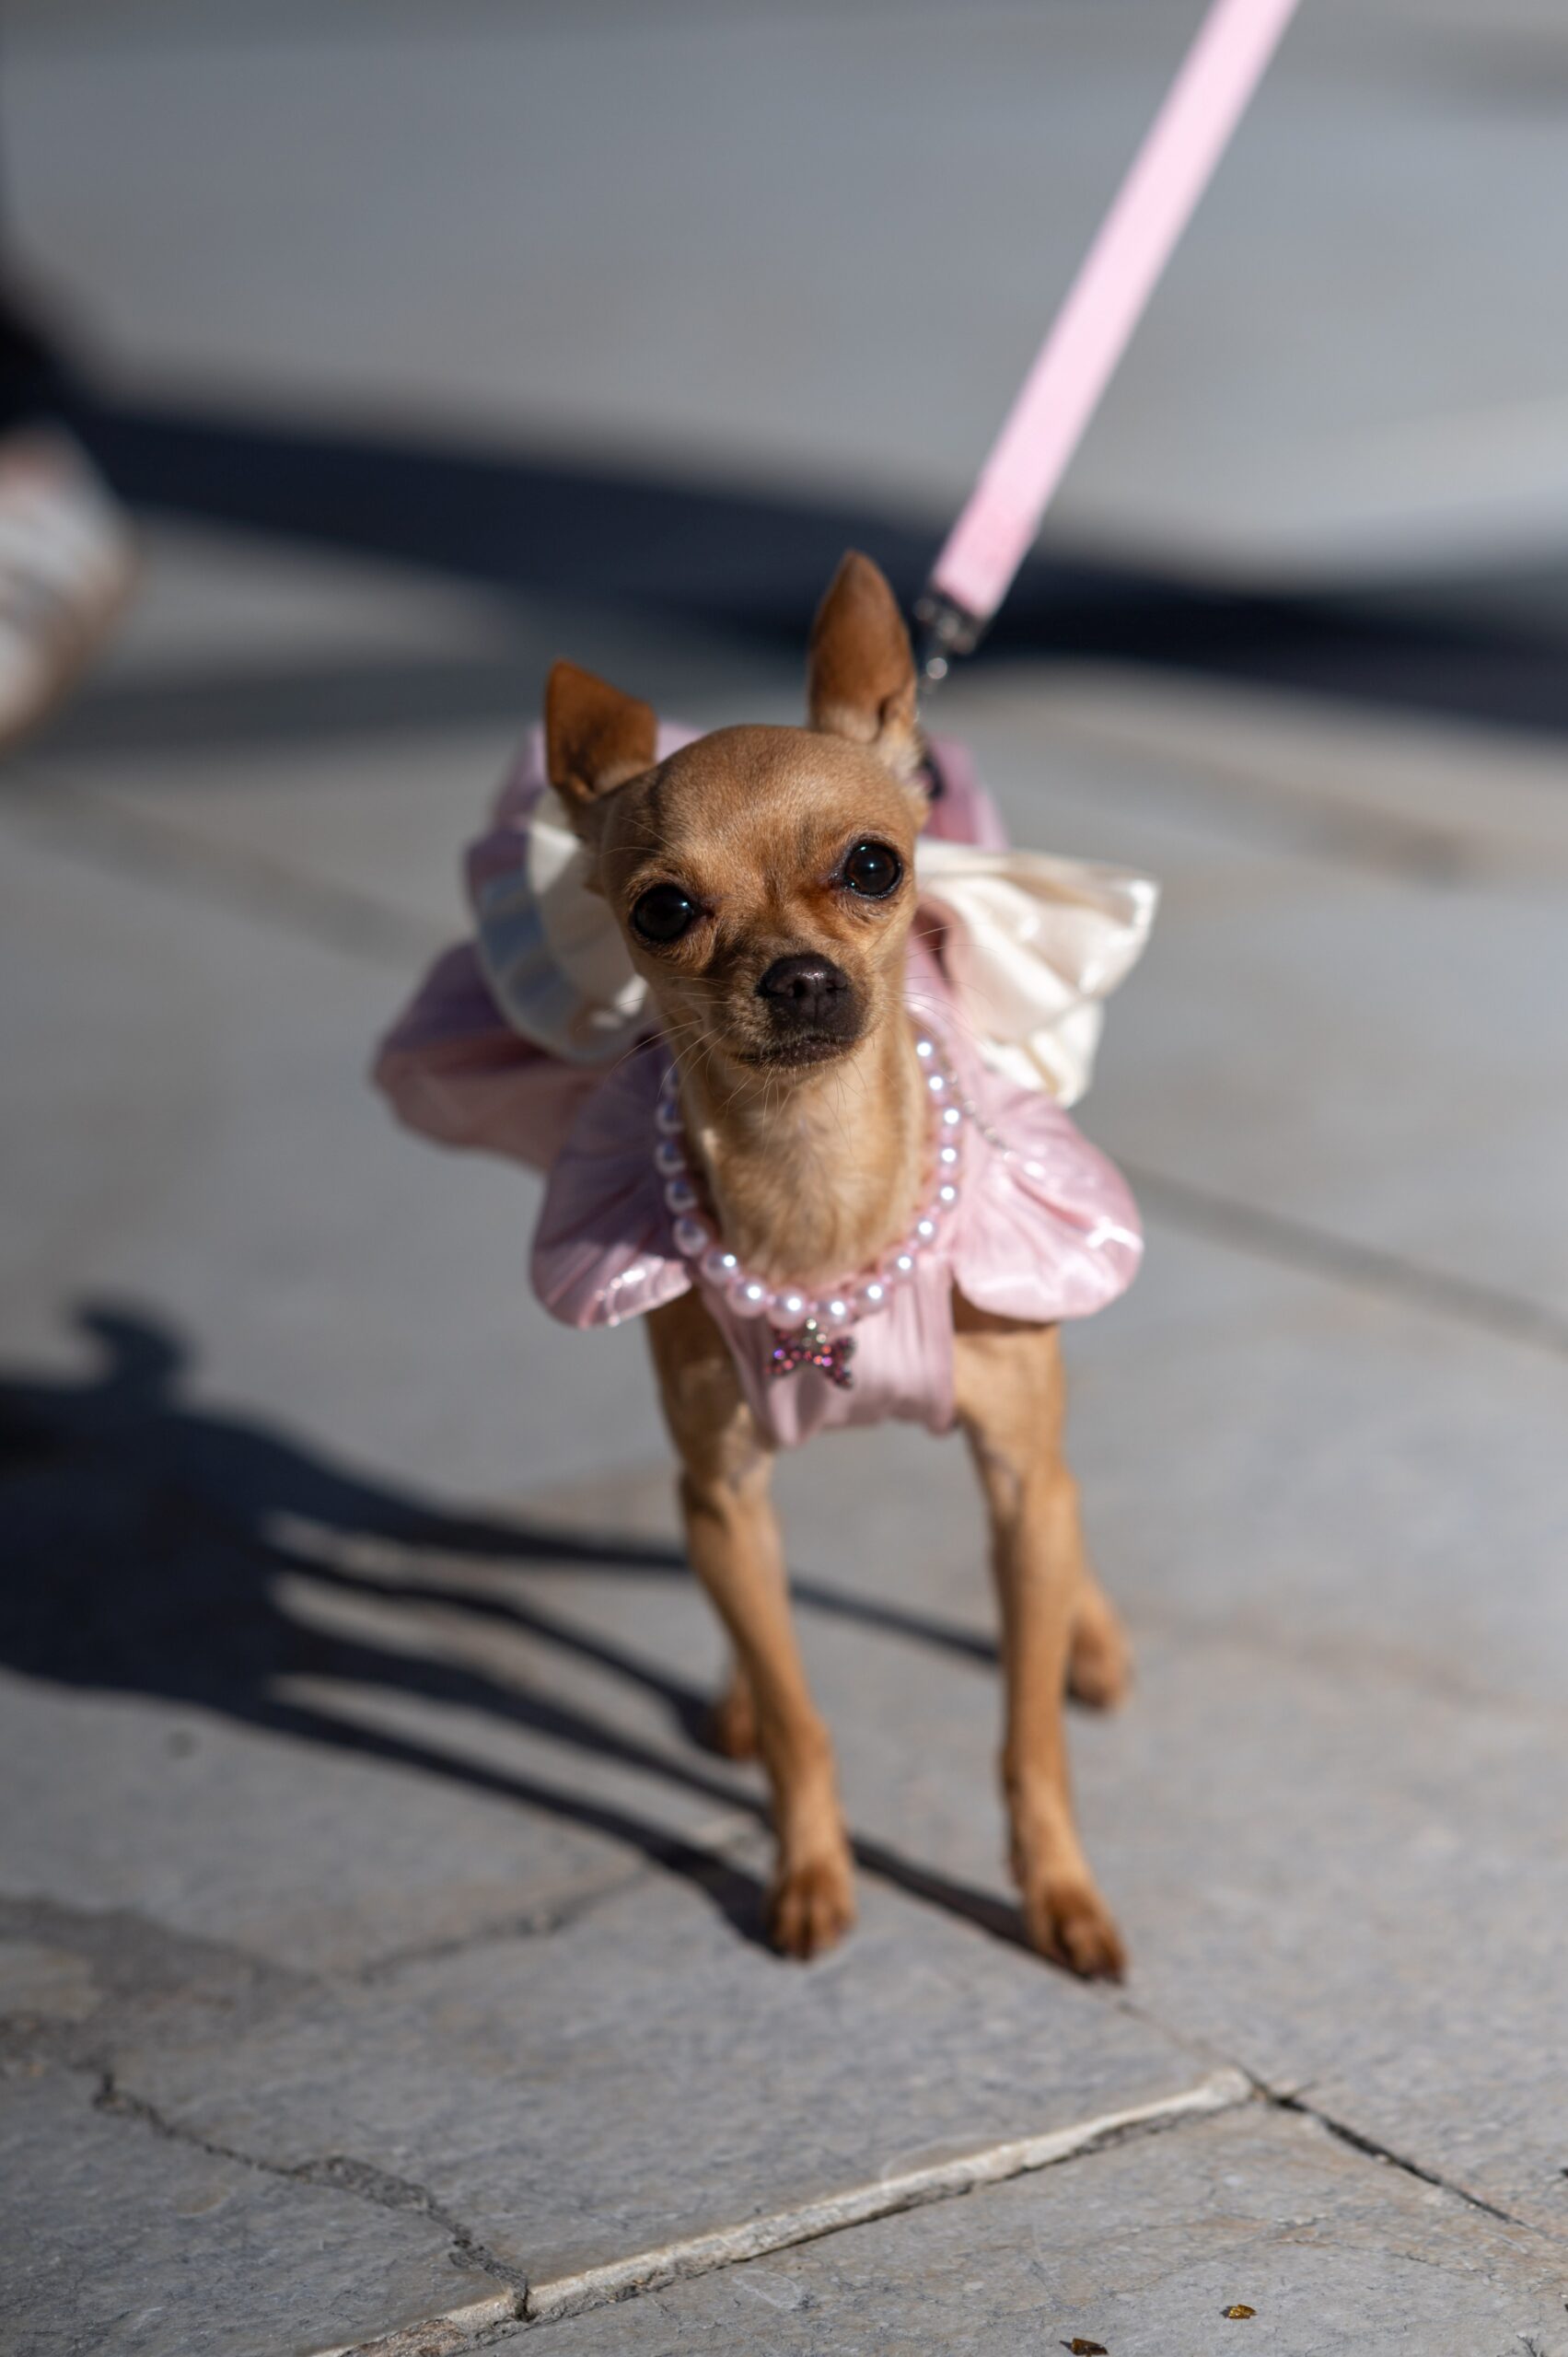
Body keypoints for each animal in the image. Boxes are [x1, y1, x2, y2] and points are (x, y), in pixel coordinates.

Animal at [536, 553, 1135, 1977]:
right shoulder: (719, 1494)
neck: (816, 1192)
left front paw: (1057, 1891)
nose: (799, 976)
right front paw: (807, 1868)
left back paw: (1086, 1633)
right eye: (664, 910)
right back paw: (733, 1696)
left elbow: (1026, 1734)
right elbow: (802, 1719)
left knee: (1067, 1510)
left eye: (871, 865)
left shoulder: (1011, 1476)